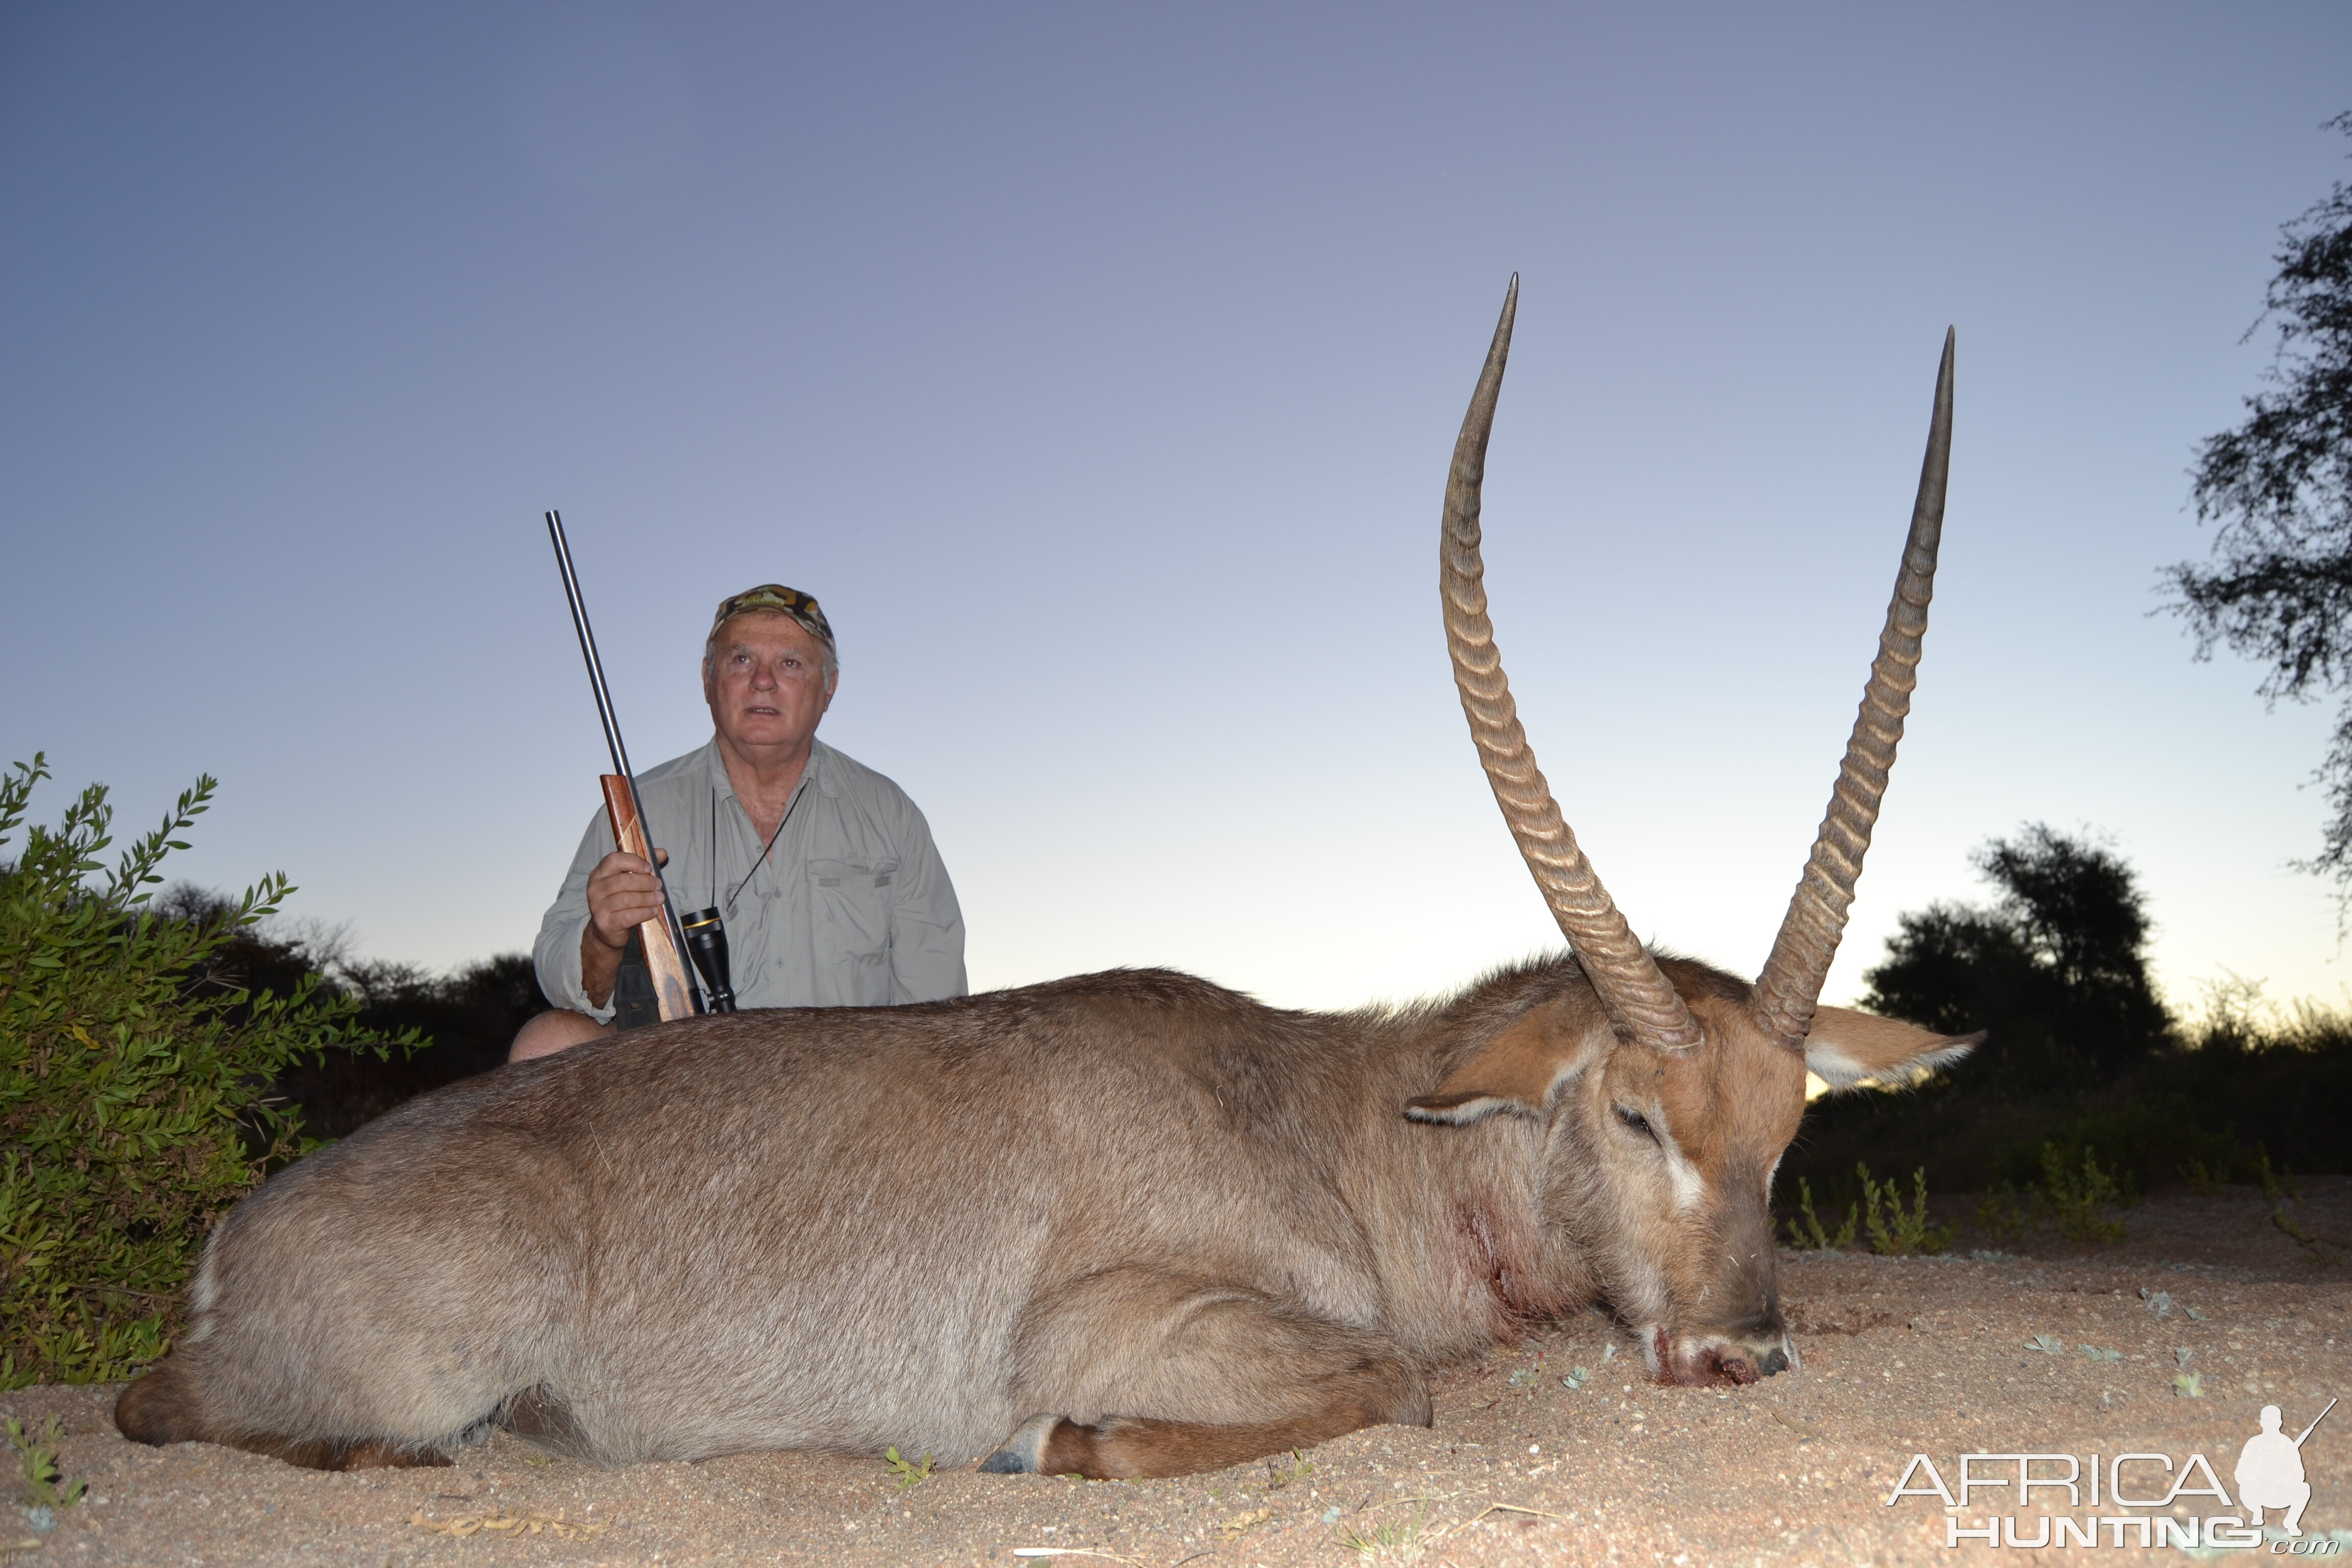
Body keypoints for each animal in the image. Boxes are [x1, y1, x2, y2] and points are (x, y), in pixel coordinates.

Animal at [119, 285, 1975, 1485]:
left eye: (1789, 1131)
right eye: (1635, 1116)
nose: (1740, 1351)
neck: (1334, 1115)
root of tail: (233, 1234)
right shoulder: (1120, 1317)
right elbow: (1391, 1386)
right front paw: (1064, 1444)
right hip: (419, 1363)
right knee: (166, 1411)